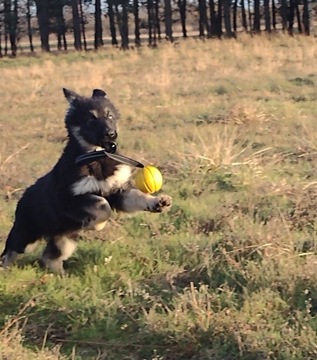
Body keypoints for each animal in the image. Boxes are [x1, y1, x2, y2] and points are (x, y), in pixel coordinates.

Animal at [1, 88, 172, 274]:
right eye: (92, 119)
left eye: (109, 116)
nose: (112, 134)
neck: (97, 157)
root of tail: (23, 196)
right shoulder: (70, 199)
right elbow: (102, 205)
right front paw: (95, 225)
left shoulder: (119, 191)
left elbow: (138, 196)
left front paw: (158, 202)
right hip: (27, 234)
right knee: (9, 252)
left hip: (65, 237)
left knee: (49, 257)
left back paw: (62, 276)